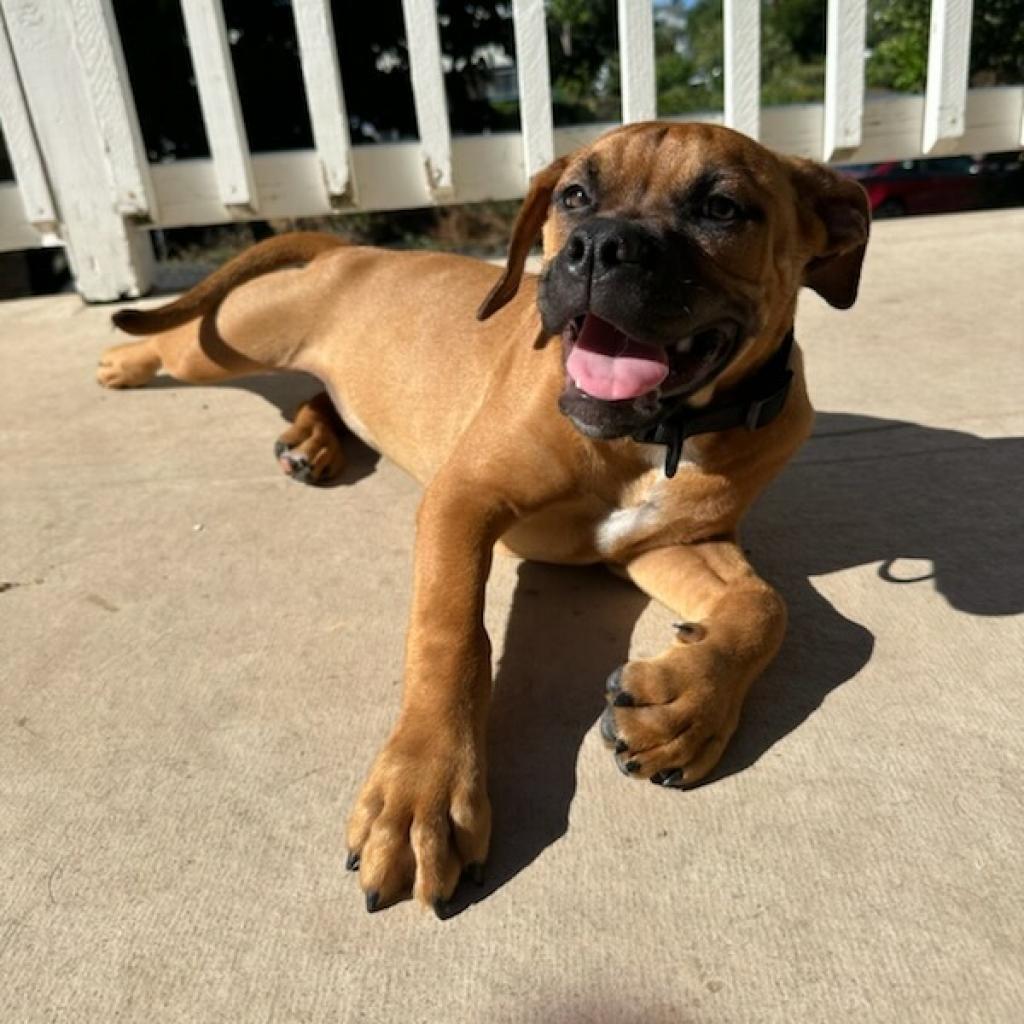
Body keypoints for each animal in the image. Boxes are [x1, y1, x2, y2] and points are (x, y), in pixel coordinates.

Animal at [96, 119, 868, 913]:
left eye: (721, 208)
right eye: (574, 196)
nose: (596, 246)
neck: (659, 436)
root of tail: (351, 251)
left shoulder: (670, 543)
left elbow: (767, 606)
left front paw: (685, 705)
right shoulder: (463, 499)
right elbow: (451, 635)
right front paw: (423, 791)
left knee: (324, 396)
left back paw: (312, 438)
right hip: (243, 341)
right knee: (177, 342)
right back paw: (124, 361)